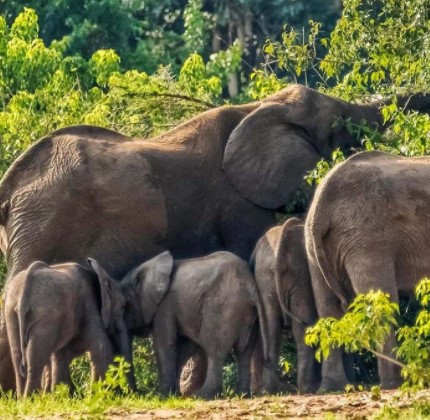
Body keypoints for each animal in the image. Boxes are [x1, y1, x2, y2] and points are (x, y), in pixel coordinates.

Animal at [3, 258, 128, 396]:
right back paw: (30, 398)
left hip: (11, 313)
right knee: (35, 357)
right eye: (123, 306)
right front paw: (105, 395)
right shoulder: (89, 306)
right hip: (46, 313)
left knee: (18, 356)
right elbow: (101, 347)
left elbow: (61, 354)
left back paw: (23, 399)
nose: (131, 392)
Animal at [119, 251, 264, 398]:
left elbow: (164, 343)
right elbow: (186, 347)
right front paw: (174, 394)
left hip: (223, 307)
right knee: (244, 352)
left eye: (125, 306)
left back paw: (203, 396)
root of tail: (250, 287)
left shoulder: (165, 305)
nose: (136, 393)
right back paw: (242, 394)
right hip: (250, 315)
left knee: (214, 349)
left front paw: (163, 396)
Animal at [252, 217, 320, 394]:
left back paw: (271, 391)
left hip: (266, 275)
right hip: (298, 272)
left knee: (272, 327)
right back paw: (307, 389)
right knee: (302, 327)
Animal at [304, 149, 430, 392]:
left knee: (327, 308)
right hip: (368, 239)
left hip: (314, 249)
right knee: (381, 304)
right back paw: (394, 384)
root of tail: (320, 207)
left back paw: (331, 387)